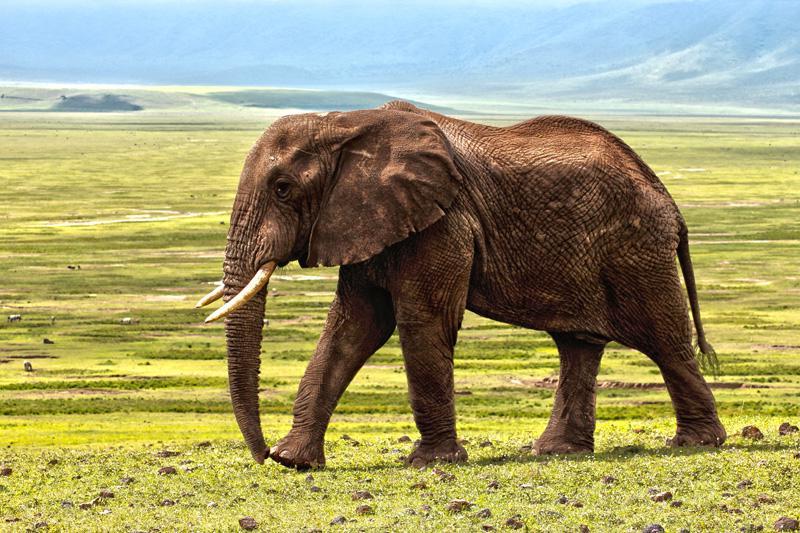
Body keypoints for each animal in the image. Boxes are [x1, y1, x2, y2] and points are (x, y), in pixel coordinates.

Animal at [195, 100, 726, 469]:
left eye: (283, 189)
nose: (262, 454)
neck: (345, 123)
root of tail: (668, 199)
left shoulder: (443, 223)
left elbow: (420, 322)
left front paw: (429, 464)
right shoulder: (367, 221)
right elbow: (352, 328)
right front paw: (295, 462)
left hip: (637, 249)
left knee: (664, 338)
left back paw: (697, 443)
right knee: (578, 344)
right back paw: (557, 452)